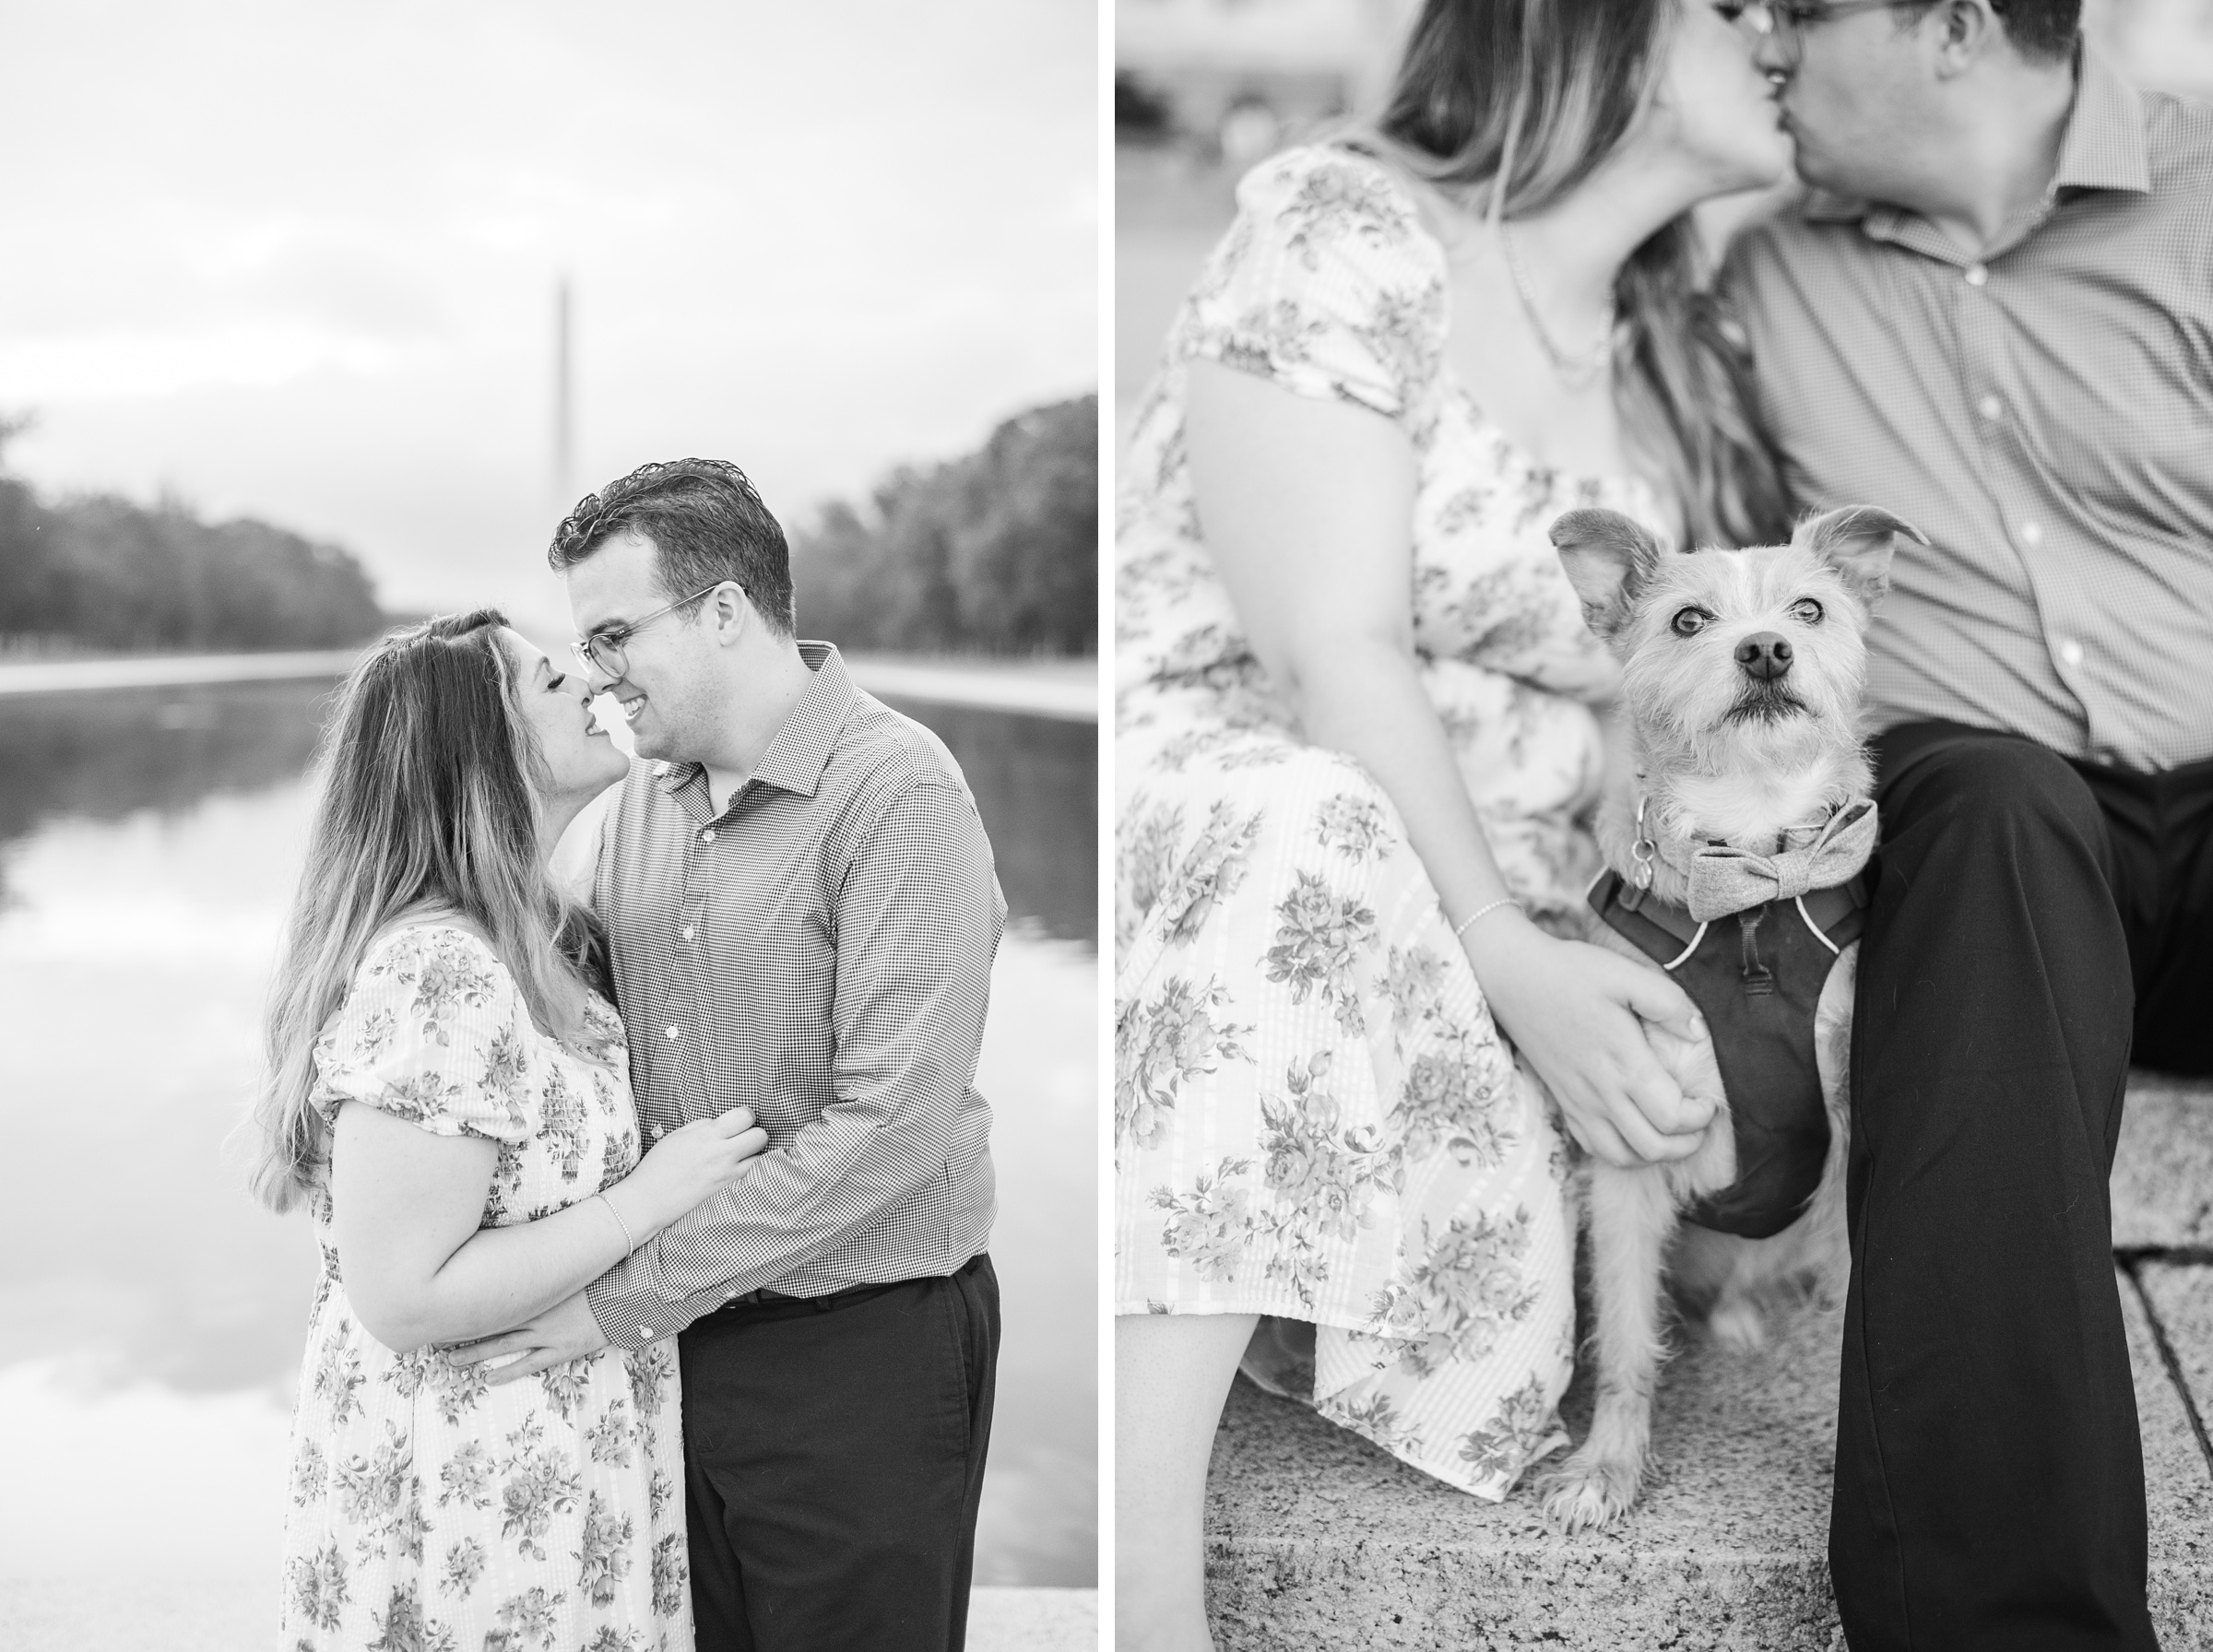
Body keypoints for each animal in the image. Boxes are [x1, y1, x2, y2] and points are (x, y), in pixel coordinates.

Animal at [1540, 503, 1921, 1539]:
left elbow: (1853, 1322)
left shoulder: (1855, 1148)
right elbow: (1627, 1333)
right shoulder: (1626, 1156)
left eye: (1809, 609)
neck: (1752, 874)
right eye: (1689, 621)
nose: (1765, 649)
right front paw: (1609, 1466)